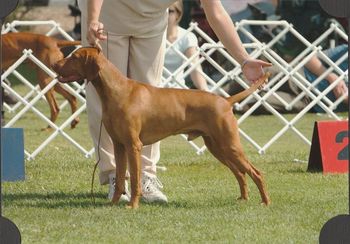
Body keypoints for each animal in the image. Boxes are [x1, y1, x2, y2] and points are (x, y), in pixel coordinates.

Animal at [52, 47, 270, 208]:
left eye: (74, 57)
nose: (54, 64)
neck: (117, 91)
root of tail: (225, 100)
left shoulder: (133, 145)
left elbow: (135, 179)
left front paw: (133, 205)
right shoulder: (119, 145)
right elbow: (121, 178)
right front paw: (113, 203)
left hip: (229, 145)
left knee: (256, 172)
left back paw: (265, 202)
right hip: (217, 147)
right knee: (240, 173)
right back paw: (243, 198)